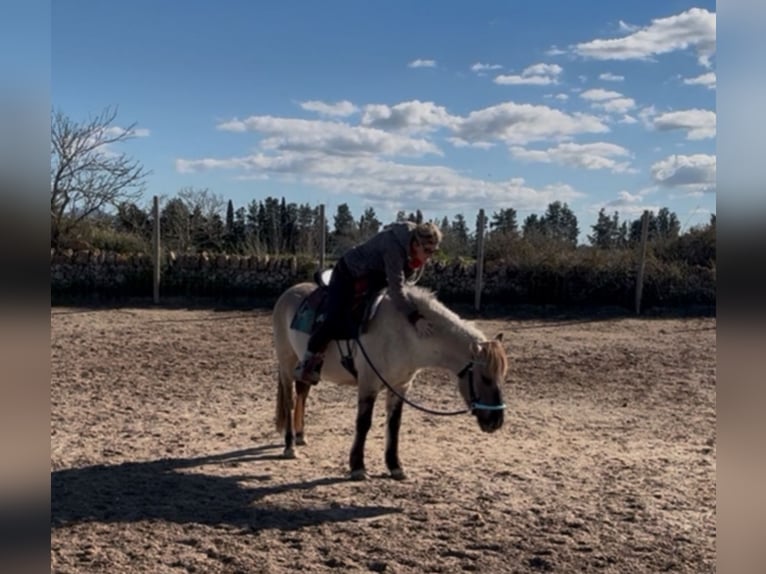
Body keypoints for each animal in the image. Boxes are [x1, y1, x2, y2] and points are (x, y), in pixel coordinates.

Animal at [272, 280, 510, 482]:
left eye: (502, 376)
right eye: (485, 377)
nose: (496, 421)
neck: (405, 334)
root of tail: (287, 294)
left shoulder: (399, 387)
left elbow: (394, 425)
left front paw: (395, 466)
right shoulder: (368, 384)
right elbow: (363, 423)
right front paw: (358, 467)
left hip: (303, 368)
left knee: (302, 394)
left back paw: (301, 436)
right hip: (286, 363)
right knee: (289, 400)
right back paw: (290, 446)